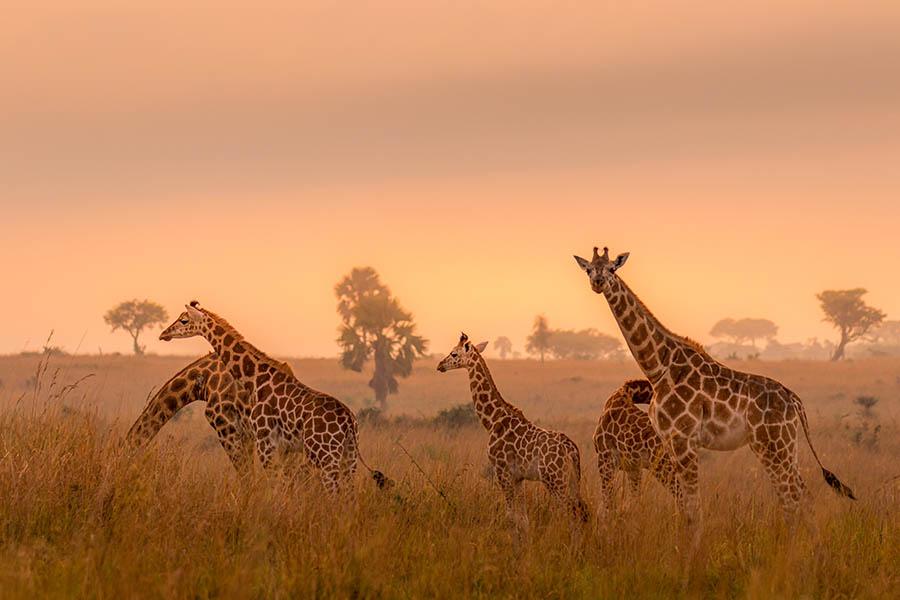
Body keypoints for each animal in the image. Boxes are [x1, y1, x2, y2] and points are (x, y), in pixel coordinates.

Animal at [159, 301, 387, 492]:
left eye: (184, 320)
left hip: (326, 454)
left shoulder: (265, 440)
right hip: (349, 456)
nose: (163, 334)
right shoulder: (281, 446)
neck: (256, 379)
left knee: (334, 493)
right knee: (348, 495)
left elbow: (276, 484)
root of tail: (349, 422)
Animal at [437, 333, 589, 528]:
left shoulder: (502, 470)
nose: (440, 365)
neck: (493, 420)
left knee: (569, 513)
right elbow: (523, 518)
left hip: (555, 480)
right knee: (582, 512)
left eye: (454, 353)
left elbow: (510, 515)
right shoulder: (518, 477)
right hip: (572, 480)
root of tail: (572, 450)